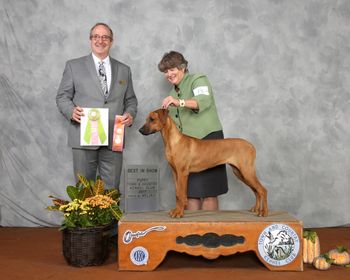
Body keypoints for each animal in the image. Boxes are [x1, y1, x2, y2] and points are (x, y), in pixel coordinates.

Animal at [139, 109, 268, 219]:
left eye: (152, 119)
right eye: (146, 119)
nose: (140, 130)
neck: (172, 142)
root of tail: (251, 145)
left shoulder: (182, 173)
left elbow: (181, 194)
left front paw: (179, 213)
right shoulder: (175, 173)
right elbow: (177, 194)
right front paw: (176, 210)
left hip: (247, 171)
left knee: (262, 190)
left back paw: (264, 212)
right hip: (240, 172)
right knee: (256, 191)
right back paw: (256, 209)